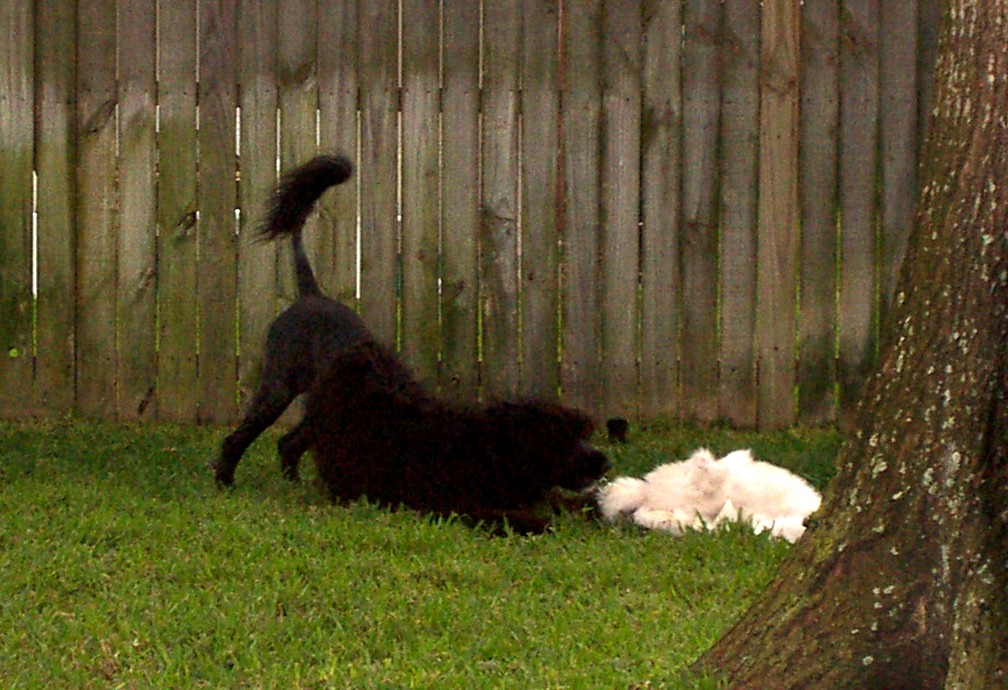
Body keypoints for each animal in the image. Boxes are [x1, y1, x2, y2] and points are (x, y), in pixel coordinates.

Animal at [294, 340, 608, 531]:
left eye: (583, 435)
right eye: (566, 441)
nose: (605, 462)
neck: (489, 451)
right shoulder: (452, 505)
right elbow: (506, 516)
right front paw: (539, 524)